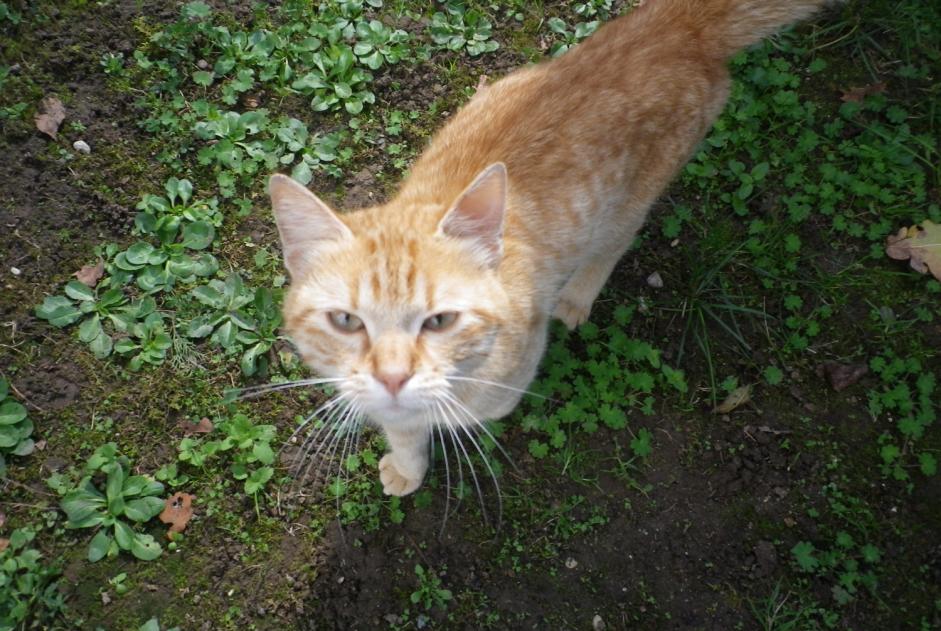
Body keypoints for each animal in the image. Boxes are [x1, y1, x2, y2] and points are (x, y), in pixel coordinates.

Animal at [268, 0, 828, 496]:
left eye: (440, 320)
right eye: (346, 321)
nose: (391, 377)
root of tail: (677, 25)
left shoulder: (512, 371)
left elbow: (462, 412)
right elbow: (402, 428)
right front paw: (408, 464)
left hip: (627, 205)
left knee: (610, 247)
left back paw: (576, 298)